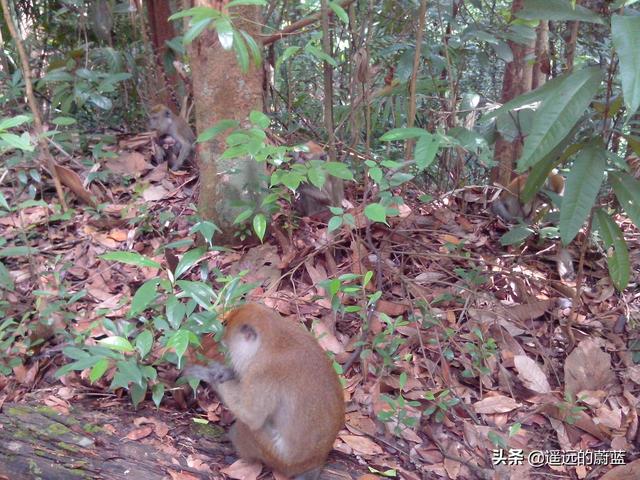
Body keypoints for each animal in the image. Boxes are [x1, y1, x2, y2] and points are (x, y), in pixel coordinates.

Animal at [184, 304, 344, 480]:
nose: (221, 341)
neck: (274, 339)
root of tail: (317, 461)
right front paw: (226, 372)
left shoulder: (262, 375)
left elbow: (251, 417)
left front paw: (209, 374)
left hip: (275, 456)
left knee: (247, 427)